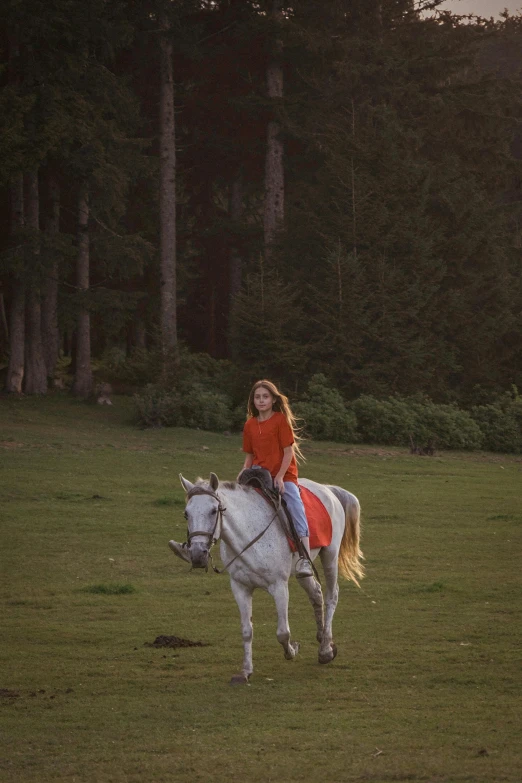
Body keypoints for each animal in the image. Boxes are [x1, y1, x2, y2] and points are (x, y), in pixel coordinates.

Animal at [175, 472, 362, 688]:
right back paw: (322, 636)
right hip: (302, 570)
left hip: (330, 556)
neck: (249, 534)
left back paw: (326, 650)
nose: (198, 555)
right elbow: (247, 631)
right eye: (186, 514)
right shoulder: (240, 587)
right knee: (316, 592)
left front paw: (293, 650)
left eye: (214, 511)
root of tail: (328, 489)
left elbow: (283, 632)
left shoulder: (279, 586)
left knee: (332, 596)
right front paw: (245, 672)